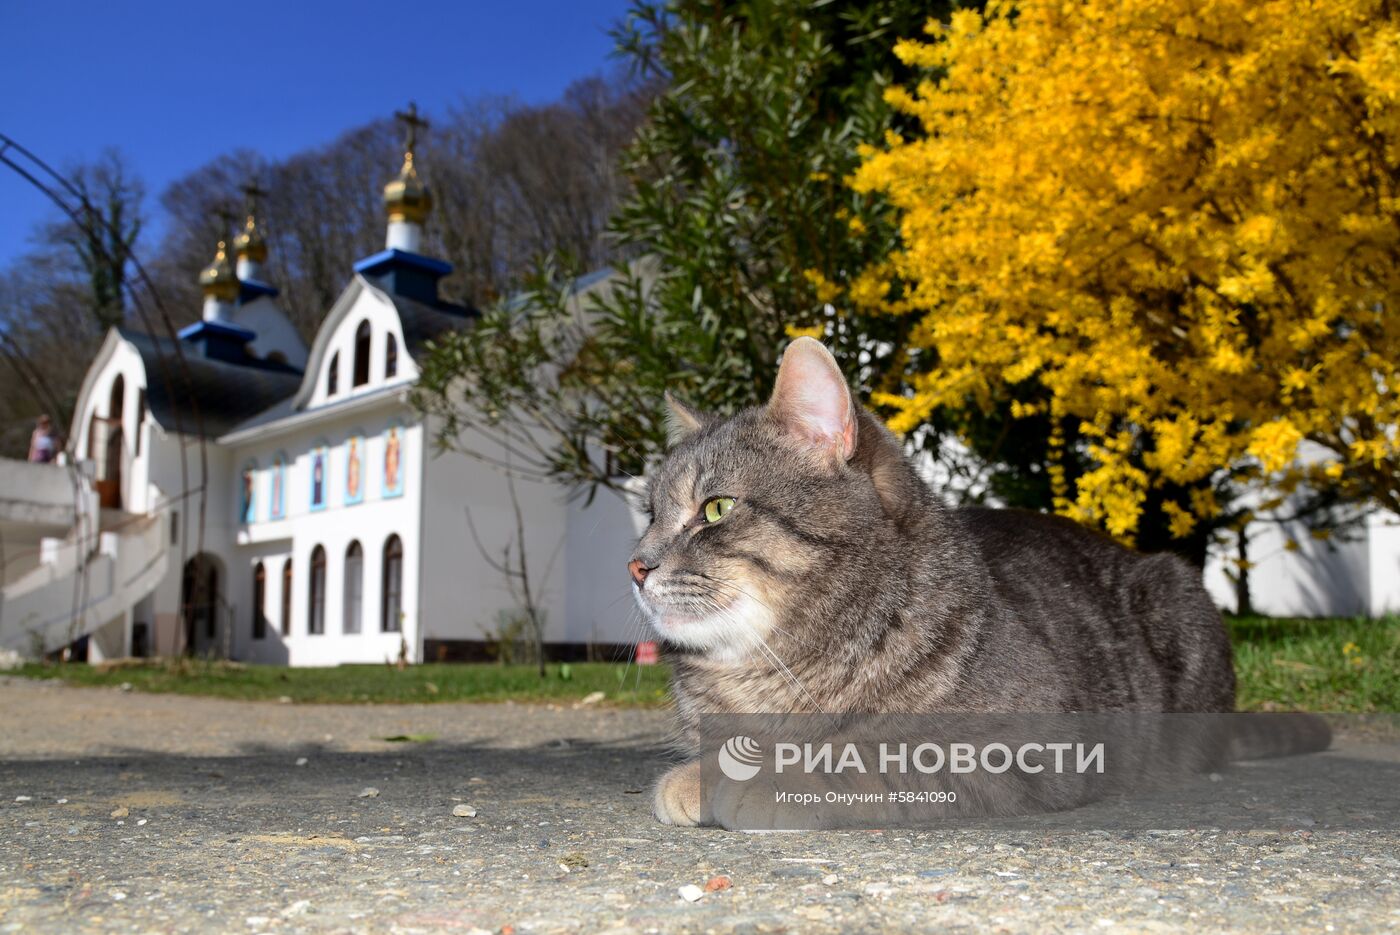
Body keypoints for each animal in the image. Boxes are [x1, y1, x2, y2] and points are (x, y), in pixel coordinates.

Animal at [635, 335, 1248, 823]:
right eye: (650, 514)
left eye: (716, 509)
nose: (636, 565)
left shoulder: (1027, 746)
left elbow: (874, 757)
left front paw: (766, 777)